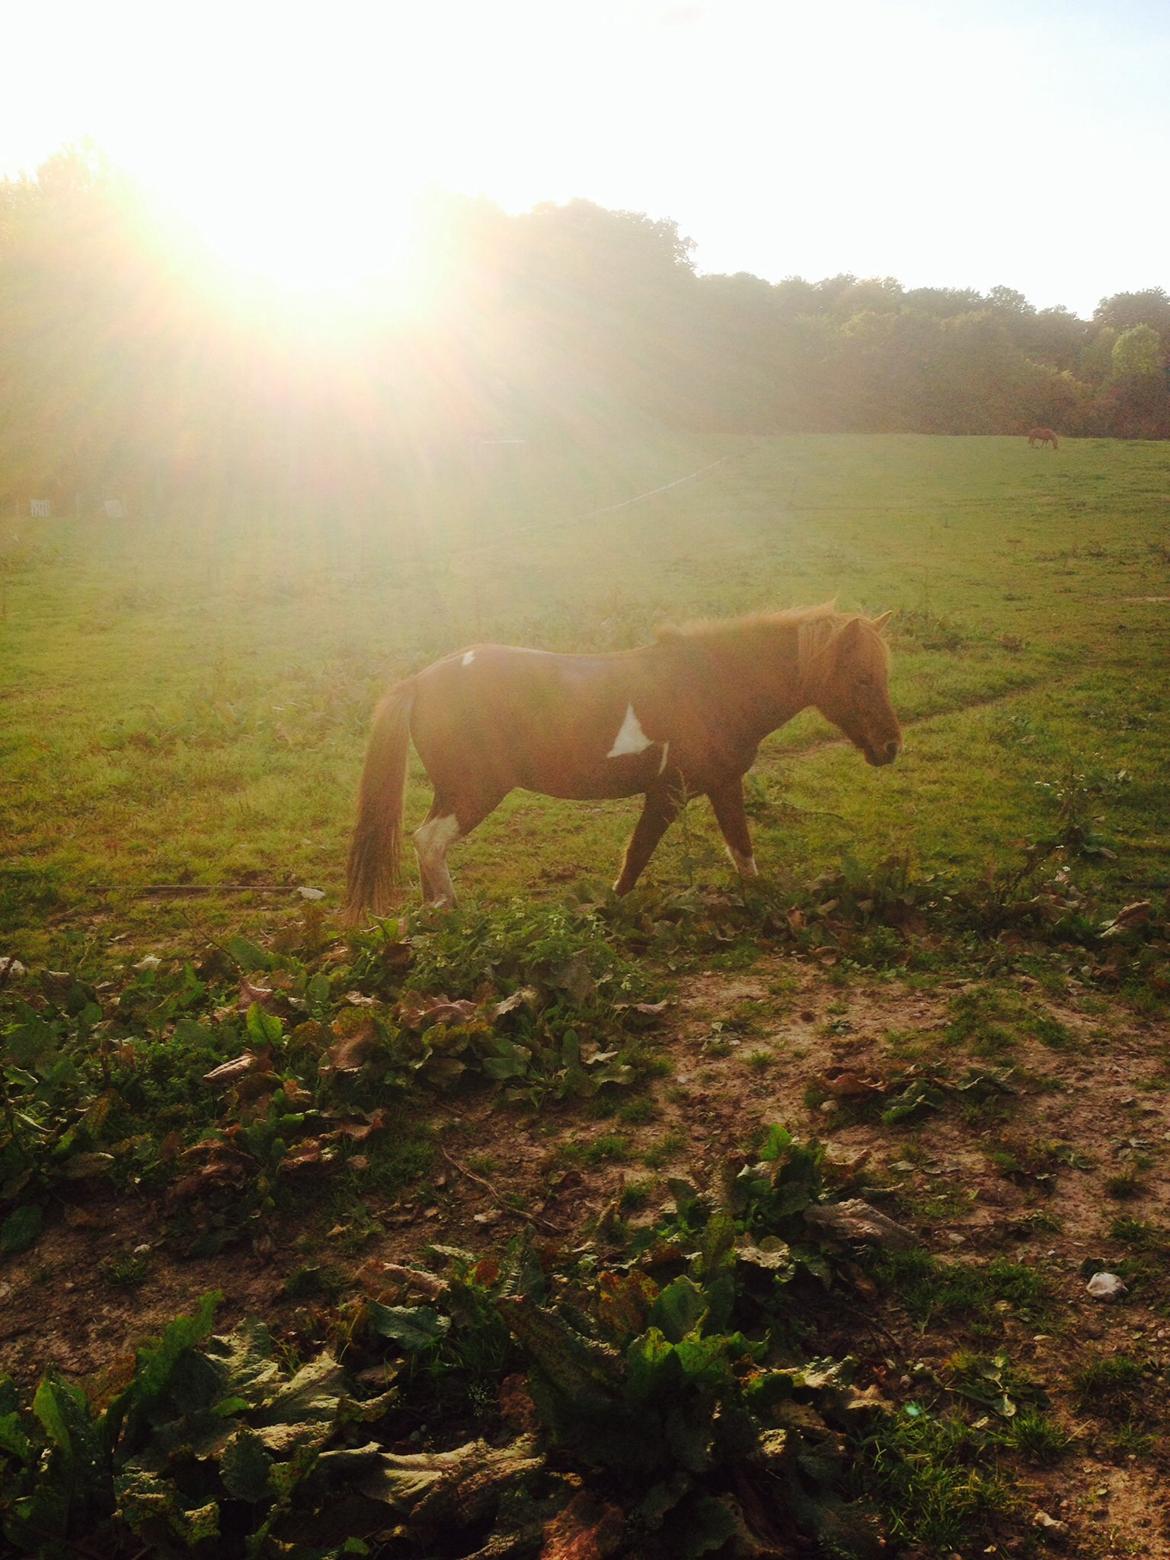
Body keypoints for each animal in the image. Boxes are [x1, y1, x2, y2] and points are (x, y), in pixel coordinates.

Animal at [343, 599, 904, 911]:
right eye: (861, 678)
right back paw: (450, 911)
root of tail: (421, 682)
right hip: (473, 792)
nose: (891, 747)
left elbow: (742, 851)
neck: (713, 685)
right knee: (429, 842)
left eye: (883, 673)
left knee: (425, 844)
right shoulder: (668, 792)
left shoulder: (724, 785)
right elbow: (634, 860)